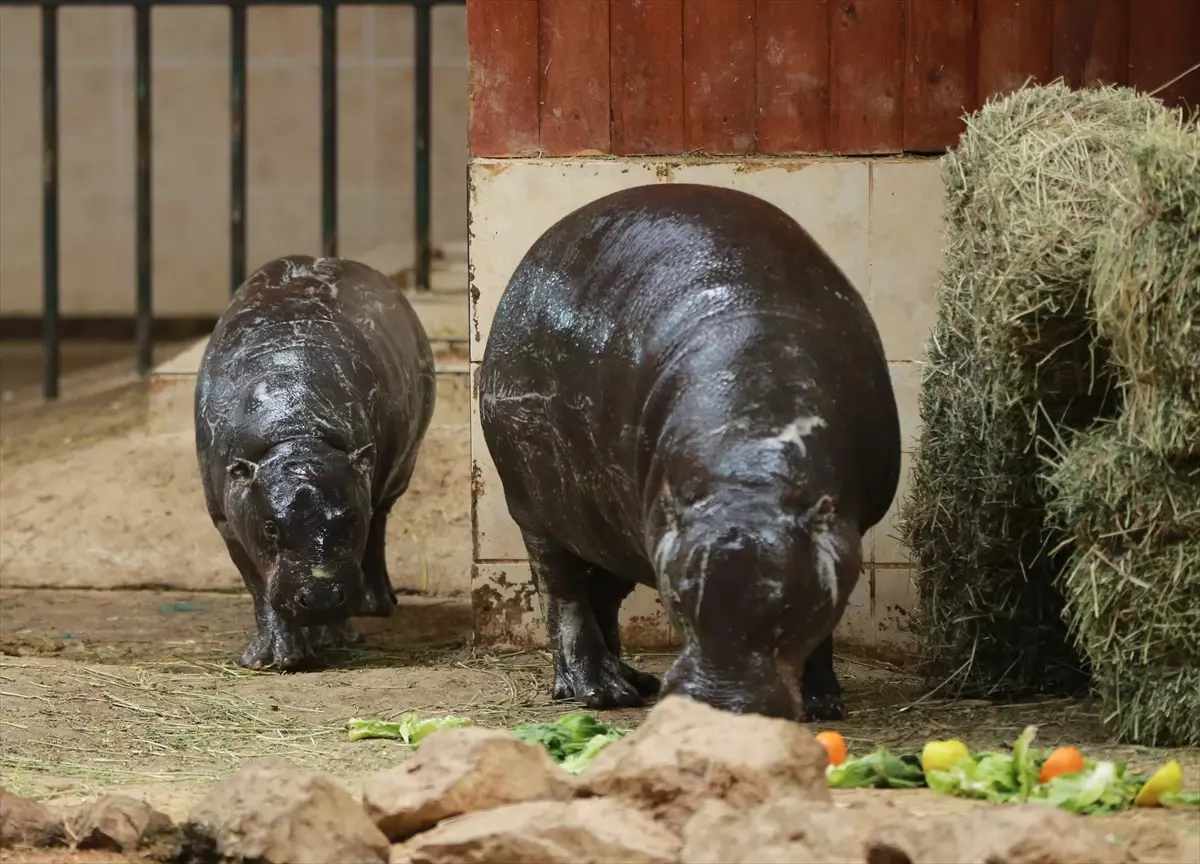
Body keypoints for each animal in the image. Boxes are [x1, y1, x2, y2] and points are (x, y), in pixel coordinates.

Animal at [196, 253, 436, 672]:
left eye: (351, 519)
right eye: (271, 527)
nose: (321, 596)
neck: (295, 433)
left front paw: (336, 638)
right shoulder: (228, 518)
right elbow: (259, 585)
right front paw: (272, 658)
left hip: (395, 478)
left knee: (378, 532)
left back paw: (376, 605)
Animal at [477, 183, 902, 720]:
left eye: (792, 605)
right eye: (675, 601)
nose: (718, 707)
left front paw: (824, 703)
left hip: (611, 525)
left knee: (603, 594)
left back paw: (633, 681)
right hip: (534, 507)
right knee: (563, 592)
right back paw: (597, 690)